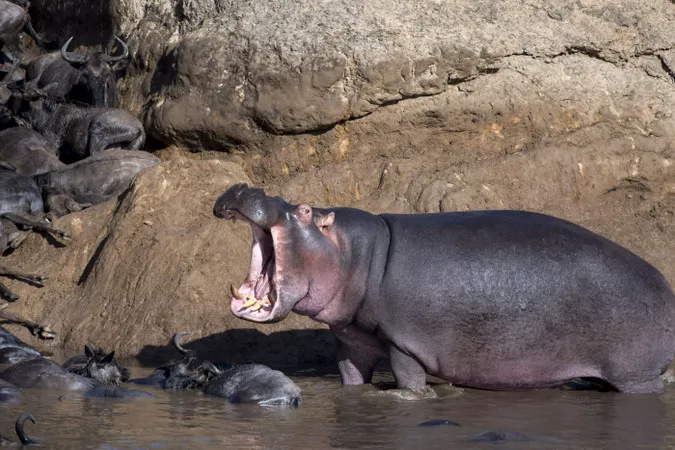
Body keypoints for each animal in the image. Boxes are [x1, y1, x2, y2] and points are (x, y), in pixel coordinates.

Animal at [213, 184, 675, 394]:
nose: (247, 188)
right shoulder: (352, 341)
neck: (360, 254)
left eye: (307, 210)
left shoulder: (405, 343)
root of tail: (667, 288)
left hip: (633, 375)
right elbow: (352, 380)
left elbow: (409, 382)